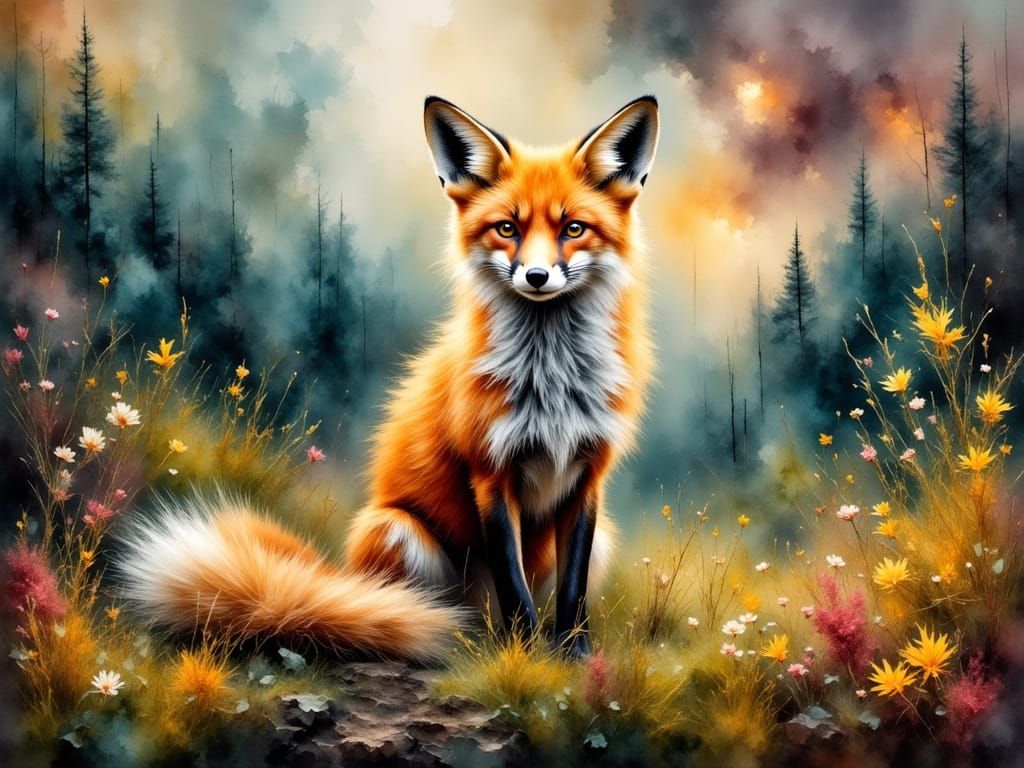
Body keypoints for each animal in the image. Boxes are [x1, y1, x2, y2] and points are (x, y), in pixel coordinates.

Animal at [117, 95, 659, 662]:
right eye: (507, 229)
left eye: (573, 229)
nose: (535, 277)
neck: (551, 382)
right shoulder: (490, 473)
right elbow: (514, 586)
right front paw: (526, 656)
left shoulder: (588, 476)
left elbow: (573, 590)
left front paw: (574, 655)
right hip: (401, 533)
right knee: (420, 612)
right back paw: (455, 638)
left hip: (599, 541)